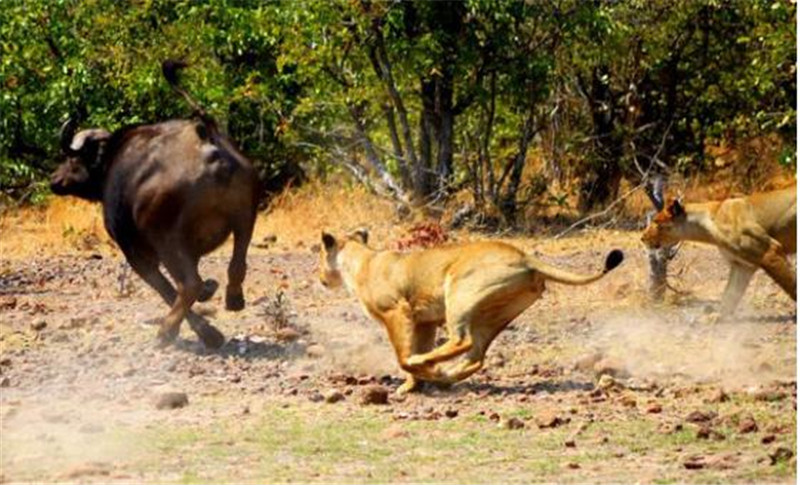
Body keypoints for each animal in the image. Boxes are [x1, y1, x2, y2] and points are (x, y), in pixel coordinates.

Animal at [51, 61, 258, 348]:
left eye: (72, 160)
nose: (54, 180)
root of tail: (206, 142)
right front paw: (210, 294)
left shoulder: (137, 253)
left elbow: (165, 289)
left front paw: (204, 331)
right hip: (245, 218)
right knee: (236, 265)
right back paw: (233, 298)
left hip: (167, 241)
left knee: (188, 284)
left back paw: (170, 331)